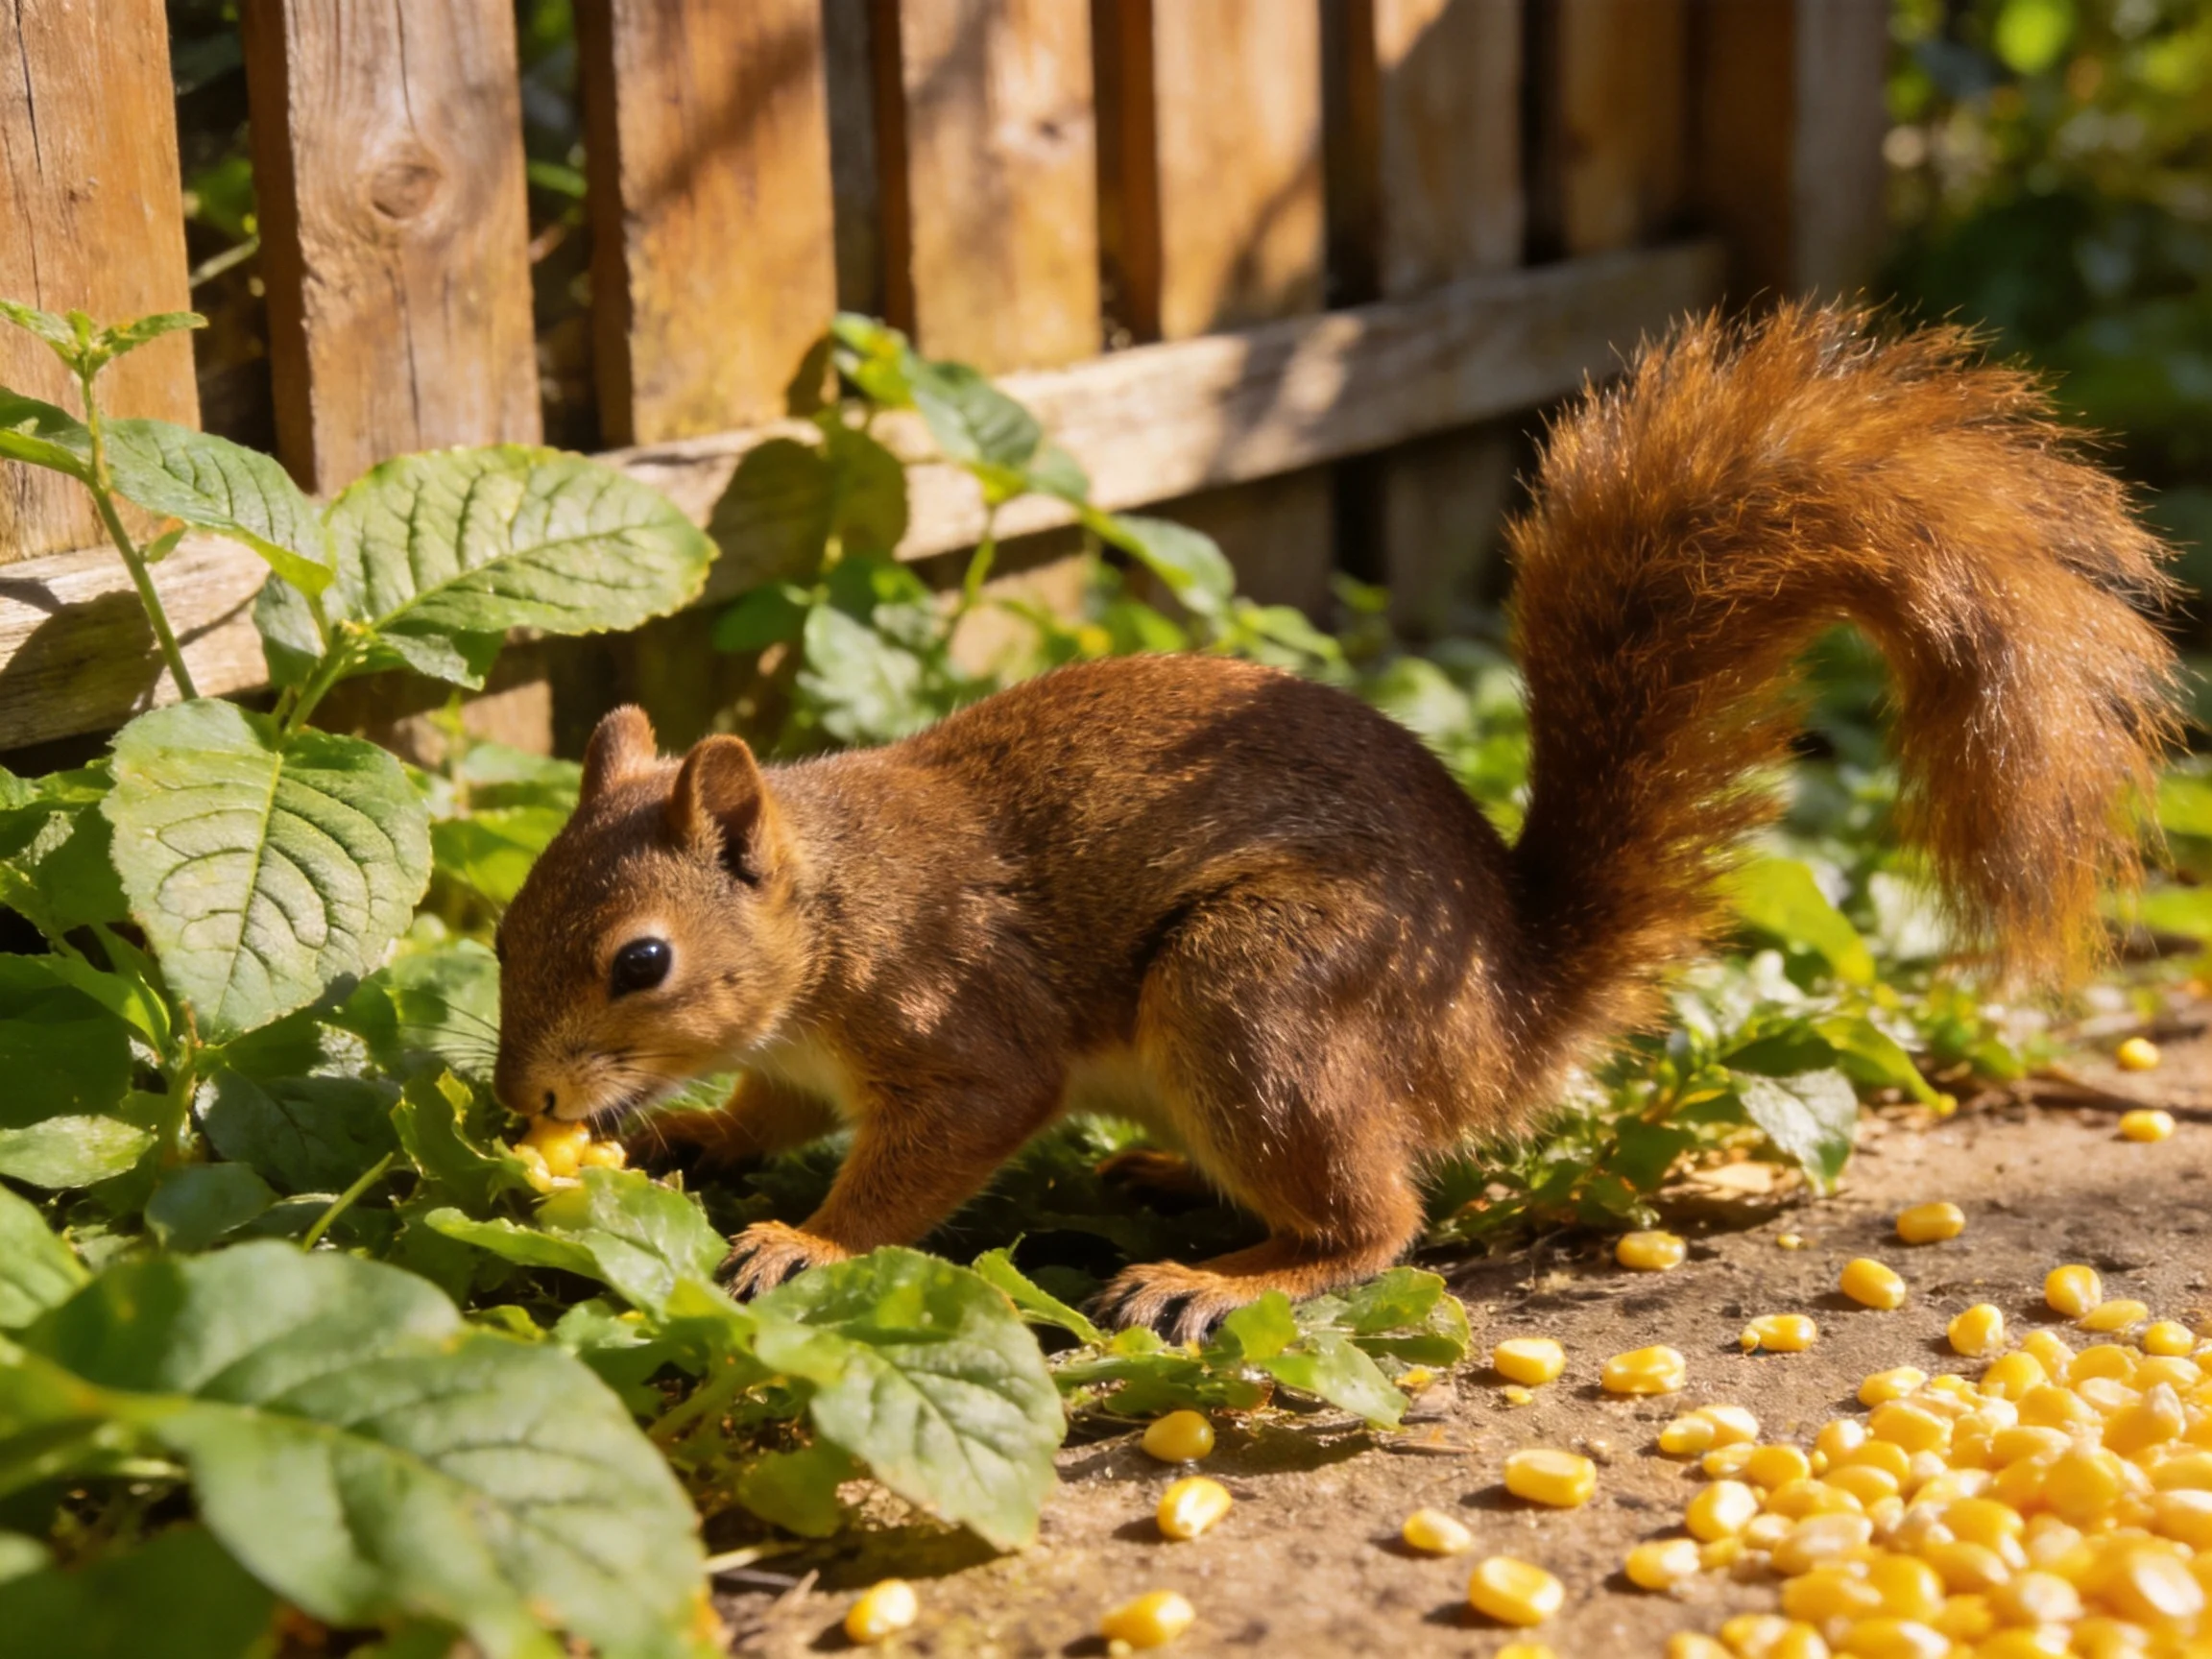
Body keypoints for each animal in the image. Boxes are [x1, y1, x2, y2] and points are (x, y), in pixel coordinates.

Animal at [493, 303, 2179, 1338]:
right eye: (504, 932)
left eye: (640, 962)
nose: (525, 1106)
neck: (830, 915)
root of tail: (1505, 1018)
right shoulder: (799, 1058)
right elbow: (767, 1116)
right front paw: (687, 1140)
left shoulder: (960, 1026)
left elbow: (939, 1146)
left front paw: (810, 1245)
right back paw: (1166, 1187)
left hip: (1257, 993)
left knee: (1378, 1222)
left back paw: (1218, 1279)